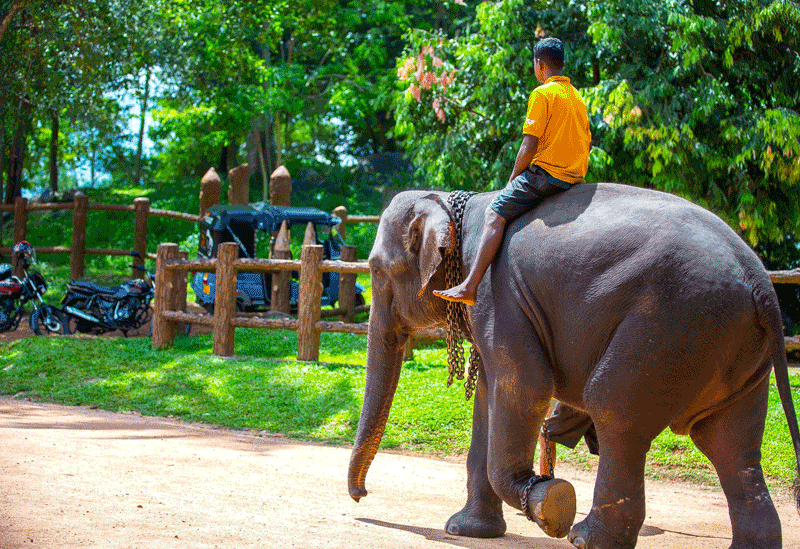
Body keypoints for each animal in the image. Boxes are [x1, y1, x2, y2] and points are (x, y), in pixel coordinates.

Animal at [346, 183, 800, 548]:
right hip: (731, 347)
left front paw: (549, 504)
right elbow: (490, 399)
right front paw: (467, 530)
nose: (361, 496)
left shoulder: (497, 296)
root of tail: (761, 283)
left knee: (617, 412)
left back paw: (585, 538)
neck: (456, 201)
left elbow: (525, 388)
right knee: (730, 442)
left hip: (670, 323)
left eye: (376, 271)